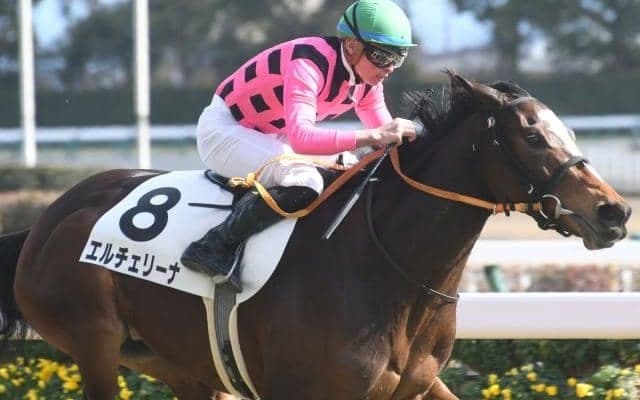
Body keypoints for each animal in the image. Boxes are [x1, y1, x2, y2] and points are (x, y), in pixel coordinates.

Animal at [0, 71, 630, 400]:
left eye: (568, 131)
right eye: (532, 135)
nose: (614, 212)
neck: (389, 270)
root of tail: (46, 219)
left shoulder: (417, 385)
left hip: (180, 364)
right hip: (94, 342)